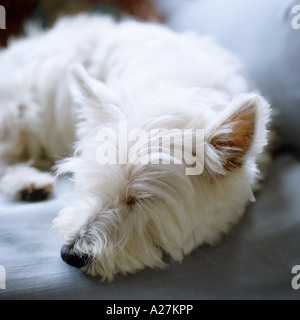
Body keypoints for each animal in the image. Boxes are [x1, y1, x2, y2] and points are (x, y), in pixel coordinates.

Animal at [0, 15, 270, 280]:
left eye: (137, 201)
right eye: (92, 185)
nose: (70, 255)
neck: (178, 85)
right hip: (19, 113)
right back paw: (28, 183)